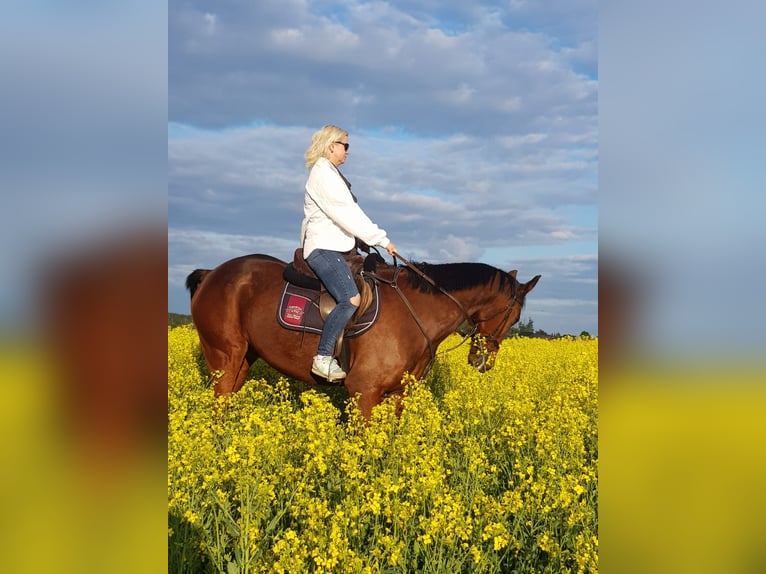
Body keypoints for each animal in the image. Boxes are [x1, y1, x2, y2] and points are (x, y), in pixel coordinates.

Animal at [187, 254, 544, 420]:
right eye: (513, 317)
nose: (482, 361)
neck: (416, 312)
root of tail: (212, 273)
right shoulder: (364, 391)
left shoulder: (397, 394)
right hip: (225, 358)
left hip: (244, 361)